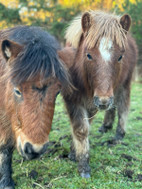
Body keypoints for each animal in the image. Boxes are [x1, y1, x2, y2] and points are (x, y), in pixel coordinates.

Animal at [58, 11, 138, 178]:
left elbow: (85, 125)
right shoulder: (72, 99)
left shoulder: (92, 101)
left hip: (123, 84)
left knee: (123, 106)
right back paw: (106, 126)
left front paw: (82, 163)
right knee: (113, 107)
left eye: (120, 57)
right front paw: (77, 156)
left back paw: (119, 134)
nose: (103, 101)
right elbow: (80, 128)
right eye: (88, 55)